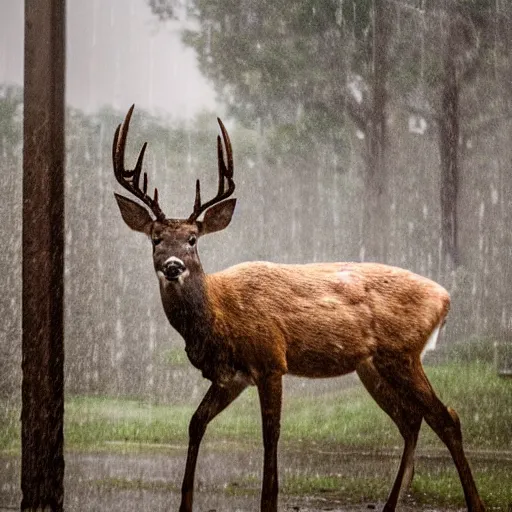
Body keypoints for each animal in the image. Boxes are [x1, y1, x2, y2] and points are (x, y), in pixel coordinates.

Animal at [112, 105, 484, 512]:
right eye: (156, 238)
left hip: (402, 353)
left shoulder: (270, 359)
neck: (218, 315)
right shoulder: (230, 376)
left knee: (446, 417)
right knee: (411, 419)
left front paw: (268, 503)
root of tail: (445, 297)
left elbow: (271, 434)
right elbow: (195, 424)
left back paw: (474, 504)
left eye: (193, 239)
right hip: (372, 365)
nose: (173, 266)